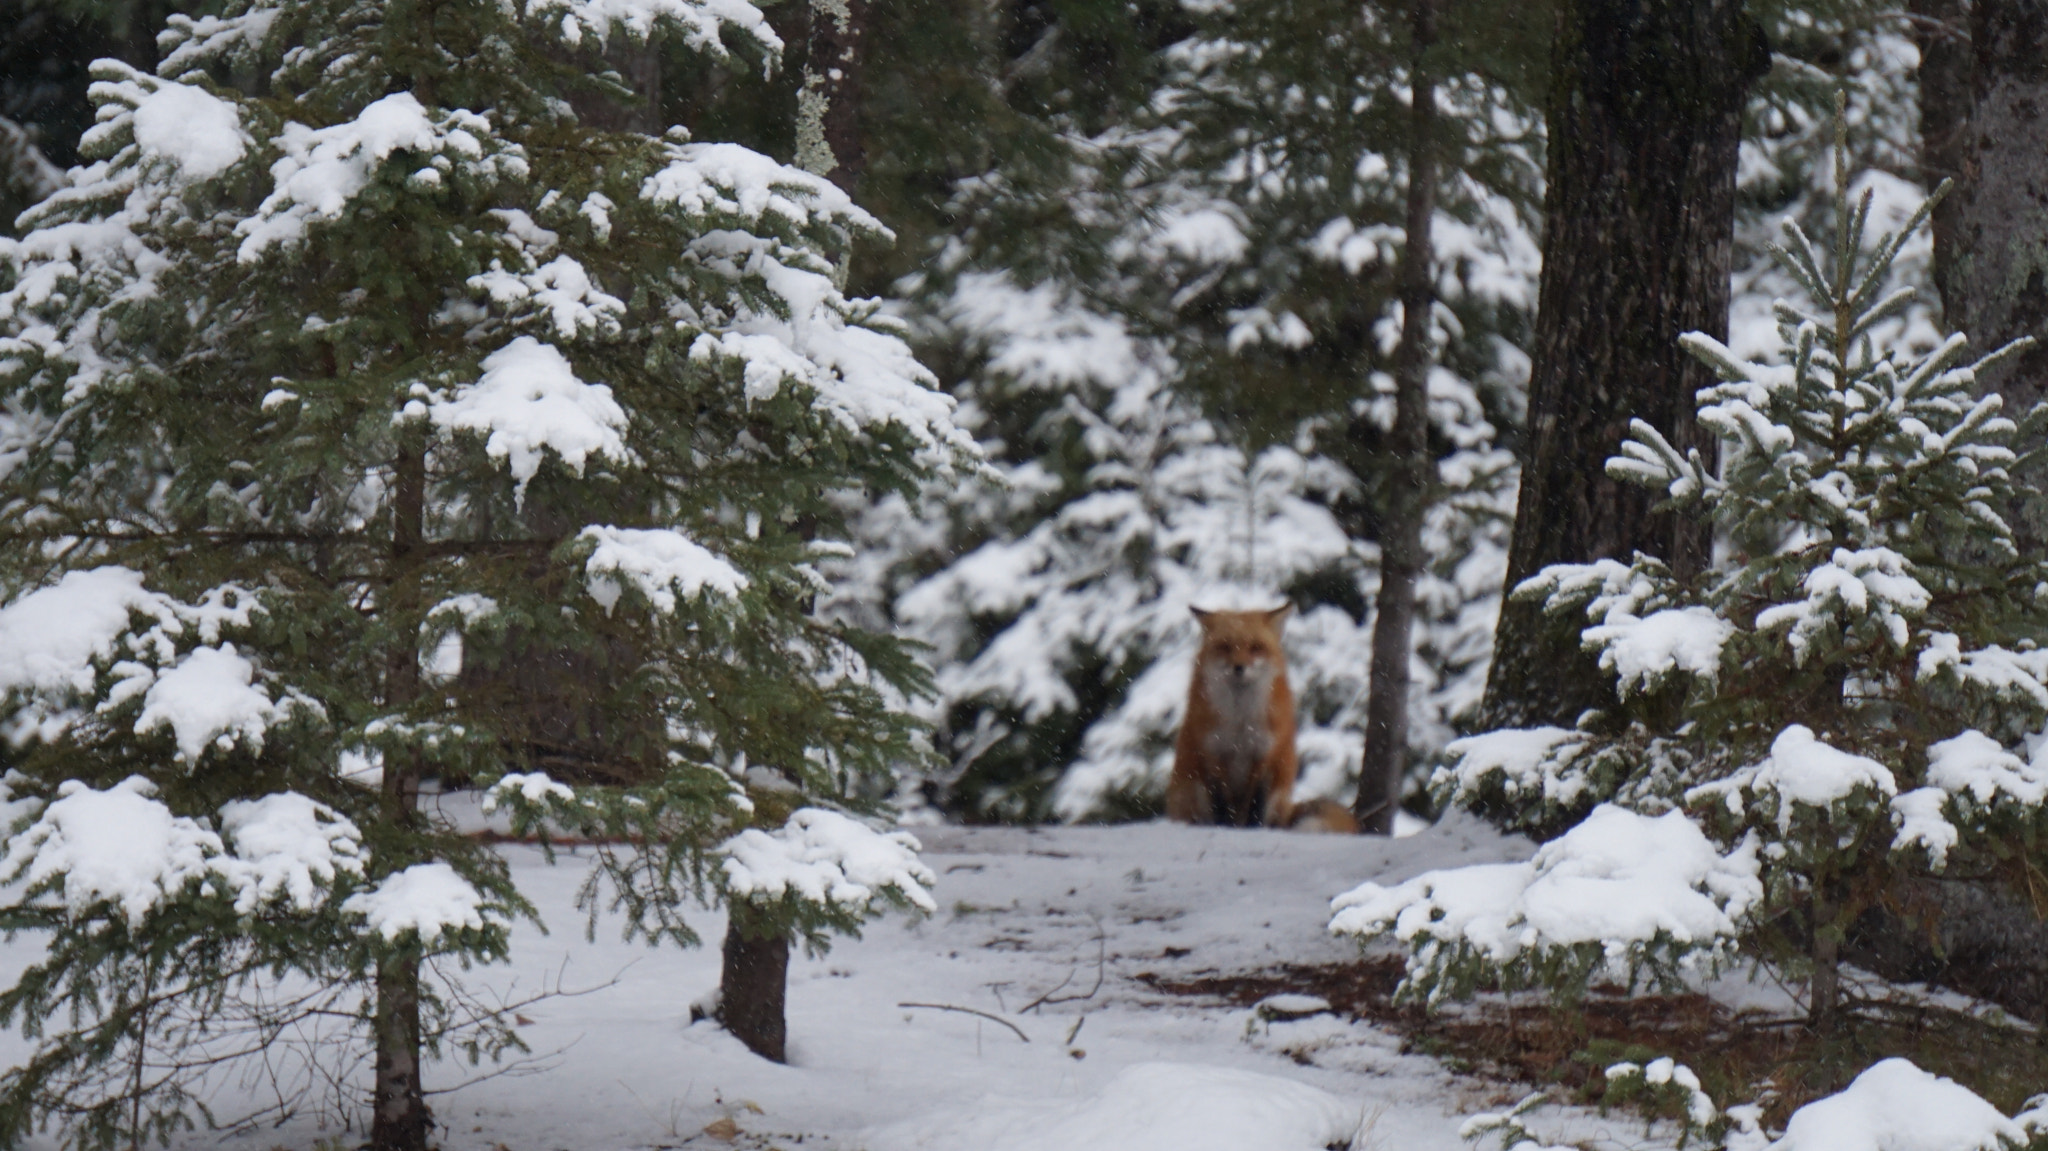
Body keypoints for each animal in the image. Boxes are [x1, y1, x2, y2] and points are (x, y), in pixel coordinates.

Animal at [1167, 605, 1357, 833]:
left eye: (1256, 647)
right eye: (1225, 646)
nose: (1239, 667)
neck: (1240, 723)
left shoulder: (1265, 756)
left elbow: (1256, 806)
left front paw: (1254, 832)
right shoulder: (1213, 755)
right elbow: (1222, 806)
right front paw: (1224, 830)